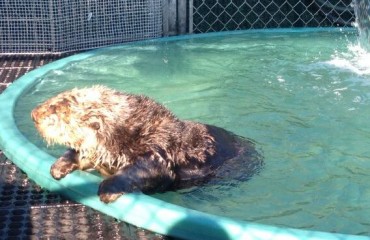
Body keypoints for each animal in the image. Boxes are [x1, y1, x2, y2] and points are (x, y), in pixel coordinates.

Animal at [31, 86, 264, 202]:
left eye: (57, 110)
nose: (34, 114)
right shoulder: (99, 151)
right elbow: (80, 154)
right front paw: (59, 166)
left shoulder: (155, 150)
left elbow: (144, 171)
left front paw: (107, 190)